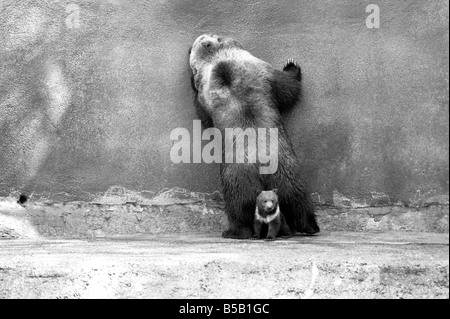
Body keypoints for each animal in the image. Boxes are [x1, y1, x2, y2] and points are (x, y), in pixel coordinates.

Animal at [189, 35, 320, 240]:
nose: (193, 43)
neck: (219, 60)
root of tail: (261, 166)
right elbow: (287, 88)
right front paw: (292, 65)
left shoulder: (256, 71)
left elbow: (286, 86)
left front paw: (291, 64)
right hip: (259, 177)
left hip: (274, 174)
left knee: (292, 201)